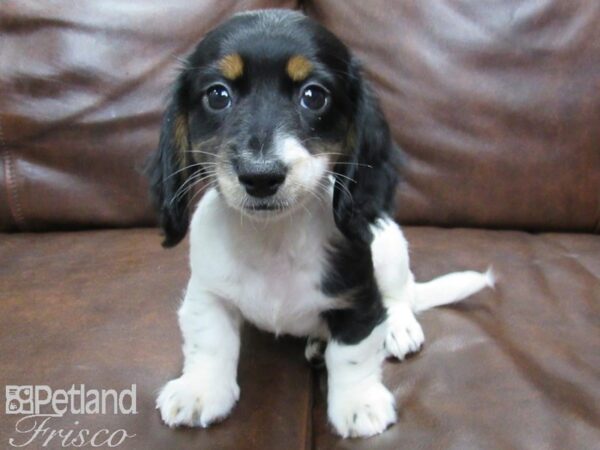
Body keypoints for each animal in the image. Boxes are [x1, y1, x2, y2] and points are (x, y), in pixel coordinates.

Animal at [148, 9, 494, 440]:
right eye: (217, 95)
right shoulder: (207, 292)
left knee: (401, 294)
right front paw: (200, 390)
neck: (274, 236)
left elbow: (353, 354)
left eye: (314, 96)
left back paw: (397, 327)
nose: (260, 177)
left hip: (390, 245)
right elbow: (208, 341)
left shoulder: (358, 298)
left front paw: (359, 402)